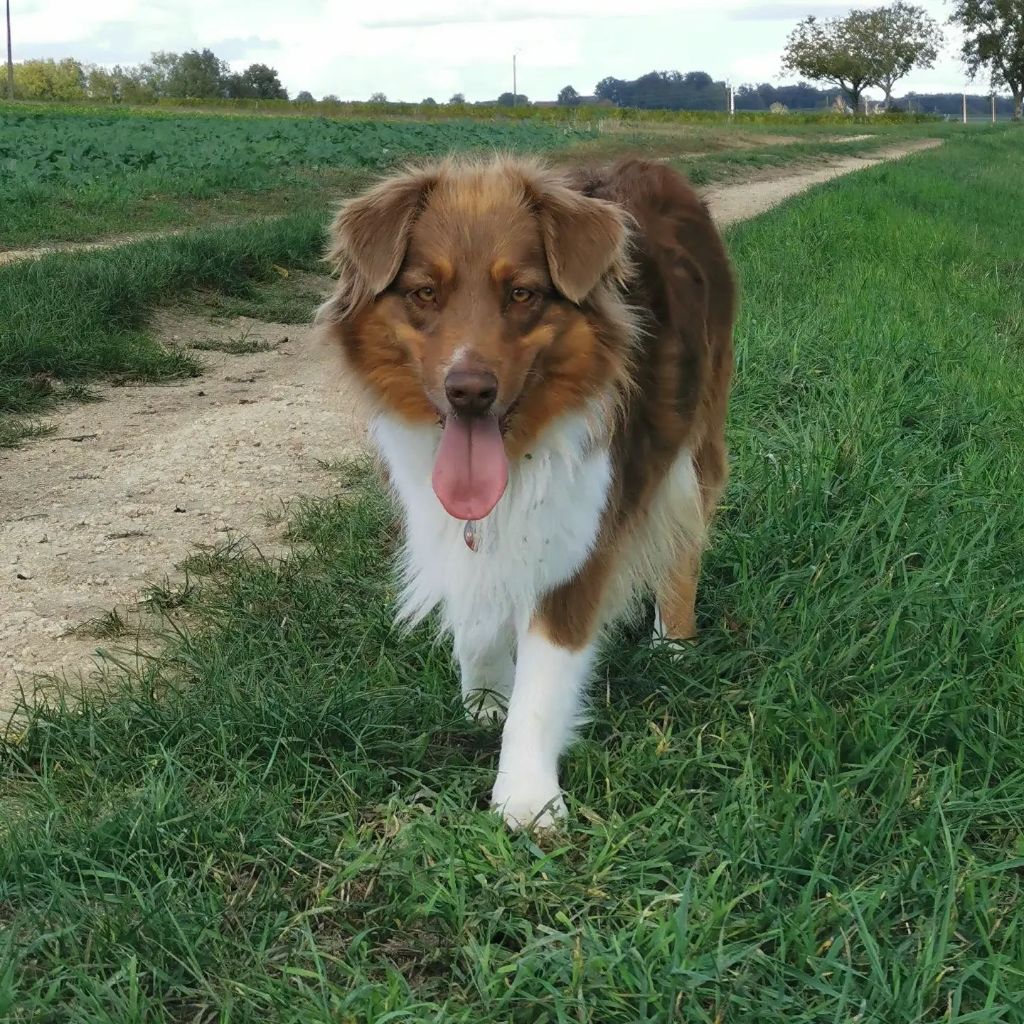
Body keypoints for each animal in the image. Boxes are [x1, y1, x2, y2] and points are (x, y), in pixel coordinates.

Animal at [319, 157, 737, 831]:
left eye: (522, 293)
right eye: (424, 293)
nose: (469, 391)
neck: (519, 453)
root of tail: (651, 165)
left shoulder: (579, 538)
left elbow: (544, 680)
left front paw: (526, 796)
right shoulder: (451, 522)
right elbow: (476, 615)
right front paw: (486, 701)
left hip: (697, 432)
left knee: (685, 535)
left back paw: (673, 641)